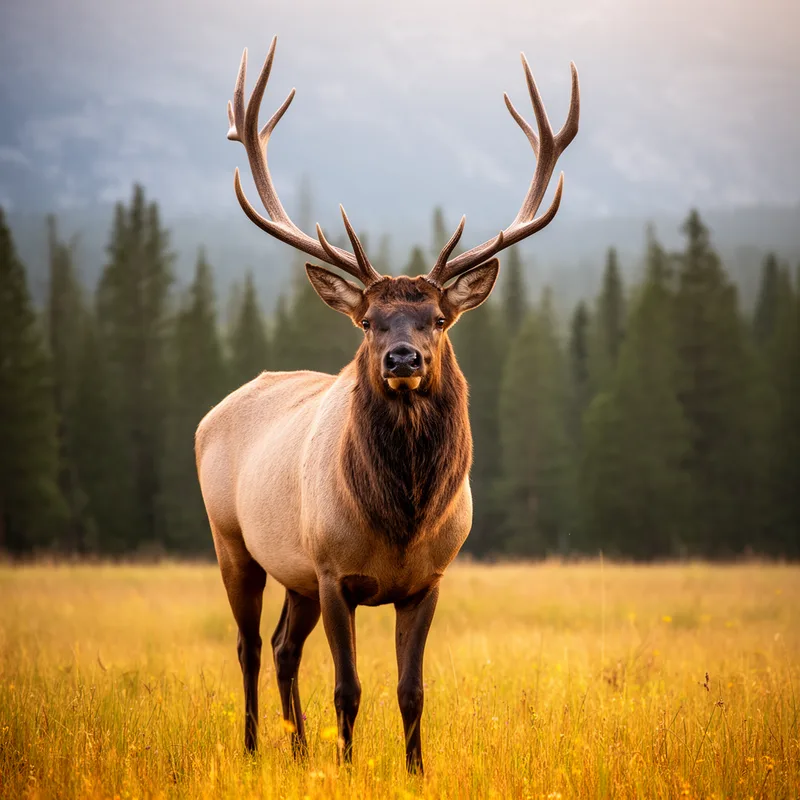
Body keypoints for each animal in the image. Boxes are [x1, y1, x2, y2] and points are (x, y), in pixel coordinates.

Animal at [195, 36, 579, 773]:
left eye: (438, 319)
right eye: (370, 322)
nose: (404, 361)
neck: (401, 516)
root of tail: (213, 411)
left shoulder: (426, 581)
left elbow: (411, 690)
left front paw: (415, 769)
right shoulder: (332, 571)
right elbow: (348, 688)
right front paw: (347, 766)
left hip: (294, 575)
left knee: (284, 647)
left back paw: (298, 749)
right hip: (235, 541)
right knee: (251, 647)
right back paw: (256, 747)